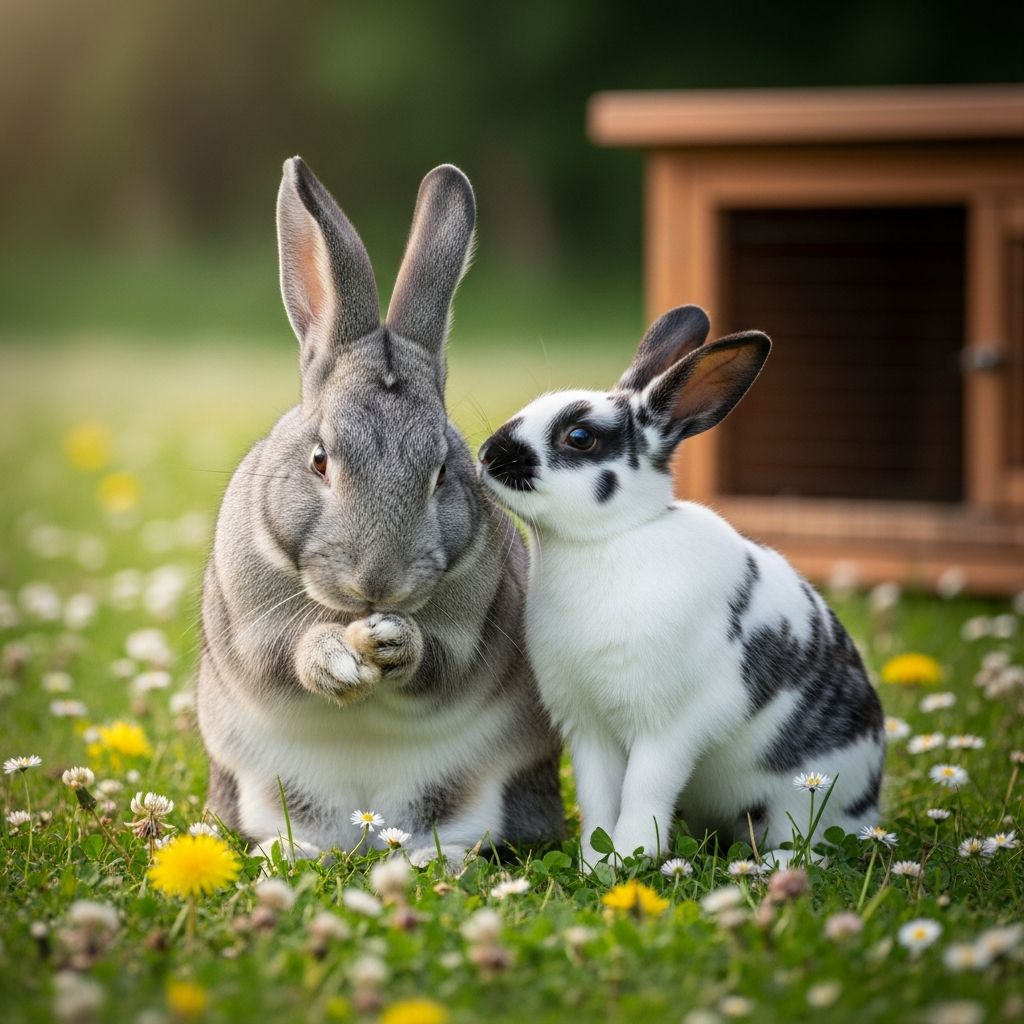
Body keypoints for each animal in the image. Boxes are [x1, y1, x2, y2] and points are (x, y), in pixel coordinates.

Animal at [197, 157, 565, 866]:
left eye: (442, 471)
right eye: (319, 460)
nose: (378, 584)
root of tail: (365, 833)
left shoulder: (474, 628)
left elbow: (441, 661)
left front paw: (393, 642)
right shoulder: (252, 625)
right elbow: (282, 654)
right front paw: (339, 660)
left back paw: (431, 860)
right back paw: (291, 855)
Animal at [477, 305, 886, 866]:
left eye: (579, 437)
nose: (487, 455)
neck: (610, 539)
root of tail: (870, 801)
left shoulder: (668, 726)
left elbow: (643, 790)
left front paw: (629, 857)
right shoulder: (589, 729)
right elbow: (600, 795)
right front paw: (594, 861)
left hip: (803, 796)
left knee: (810, 842)